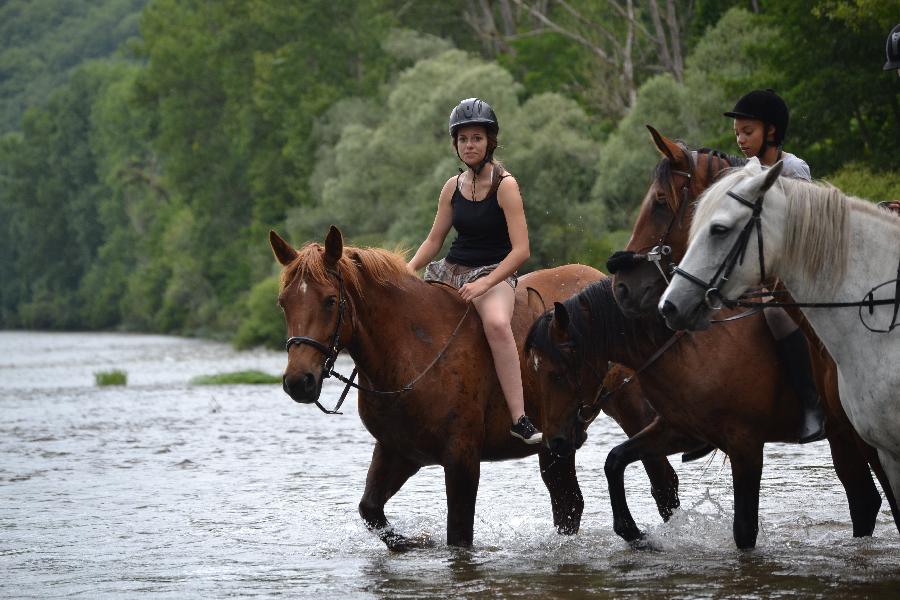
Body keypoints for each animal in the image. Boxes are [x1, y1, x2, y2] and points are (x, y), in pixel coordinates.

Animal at [270, 227, 680, 552]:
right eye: (284, 302)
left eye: (330, 300)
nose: (298, 381)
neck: (412, 347)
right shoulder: (397, 451)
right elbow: (371, 511)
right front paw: (414, 541)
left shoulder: (461, 459)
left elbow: (458, 538)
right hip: (559, 439)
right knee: (569, 503)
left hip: (632, 409)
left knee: (662, 481)